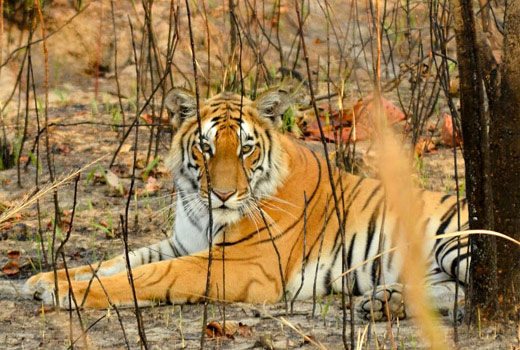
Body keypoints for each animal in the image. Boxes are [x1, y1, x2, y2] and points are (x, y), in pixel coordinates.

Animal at [22, 88, 470, 320]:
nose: (222, 195)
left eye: (245, 149)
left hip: (455, 241)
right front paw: (44, 280)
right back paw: (384, 301)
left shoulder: (242, 263)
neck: (203, 212)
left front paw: (64, 293)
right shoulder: (182, 243)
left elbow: (147, 275)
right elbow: (119, 260)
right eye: (205, 148)